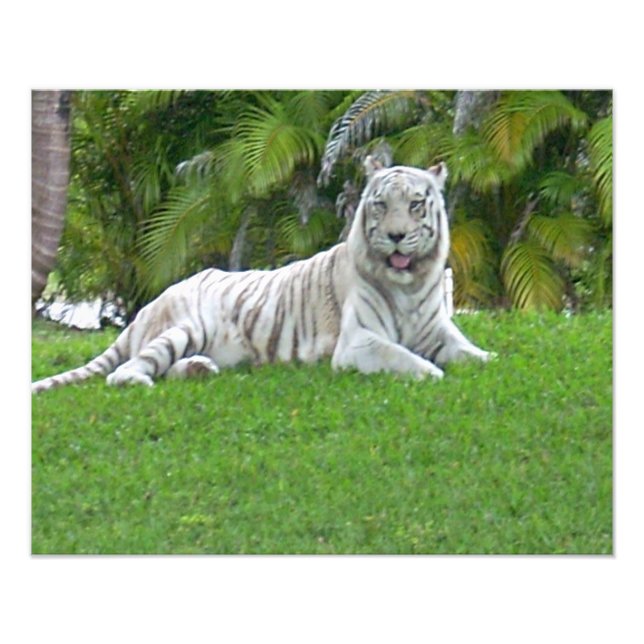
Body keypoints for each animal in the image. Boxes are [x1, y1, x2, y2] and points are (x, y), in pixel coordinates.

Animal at [31, 159, 492, 394]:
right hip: (183, 326)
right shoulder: (358, 342)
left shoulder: (439, 331)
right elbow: (404, 358)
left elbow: (474, 354)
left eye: (415, 204)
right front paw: (432, 373)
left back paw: (199, 370)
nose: (396, 236)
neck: (409, 285)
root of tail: (147, 306)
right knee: (126, 372)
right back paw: (145, 379)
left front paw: (487, 360)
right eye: (381, 204)